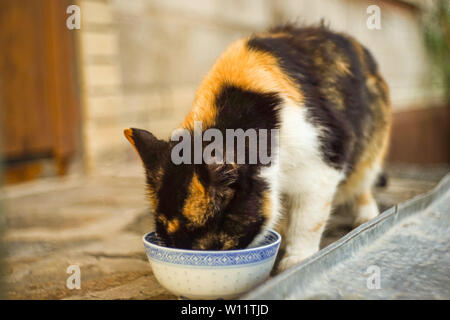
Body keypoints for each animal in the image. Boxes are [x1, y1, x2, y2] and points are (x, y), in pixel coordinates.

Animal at [123, 23, 390, 272]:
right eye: (168, 240)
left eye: (205, 246)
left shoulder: (321, 164)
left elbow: (308, 218)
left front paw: (296, 260)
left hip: (372, 145)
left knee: (362, 180)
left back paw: (366, 215)